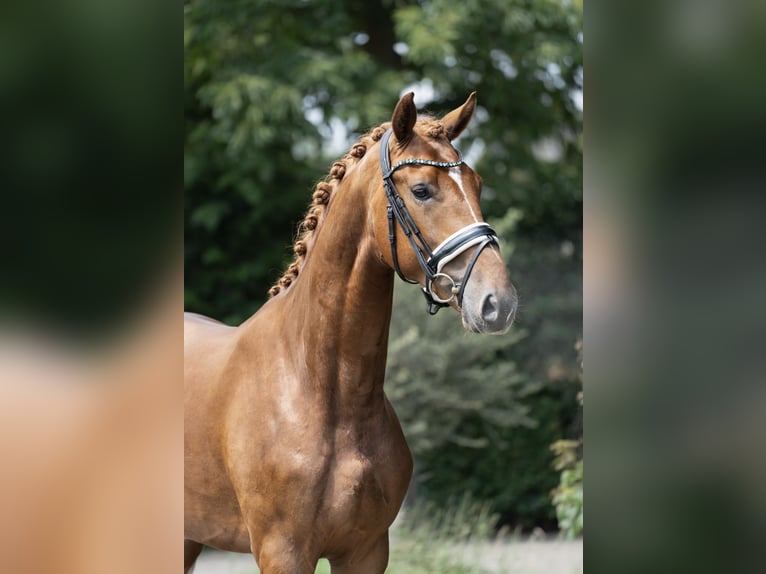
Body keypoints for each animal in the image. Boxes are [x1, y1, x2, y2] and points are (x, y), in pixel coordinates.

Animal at [186, 92, 520, 572]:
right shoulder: (283, 552)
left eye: (477, 184)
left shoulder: (367, 550)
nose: (499, 302)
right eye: (421, 190)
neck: (322, 391)